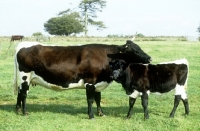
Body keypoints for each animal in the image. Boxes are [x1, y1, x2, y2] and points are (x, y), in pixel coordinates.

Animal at [13, 40, 152, 118]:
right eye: (135, 51)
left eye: (140, 48)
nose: (149, 58)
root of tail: (22, 44)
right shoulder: (90, 82)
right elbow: (90, 100)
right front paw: (91, 115)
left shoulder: (98, 83)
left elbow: (98, 99)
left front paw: (101, 113)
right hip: (25, 76)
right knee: (24, 94)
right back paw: (24, 112)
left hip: (25, 78)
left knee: (20, 92)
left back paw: (18, 110)